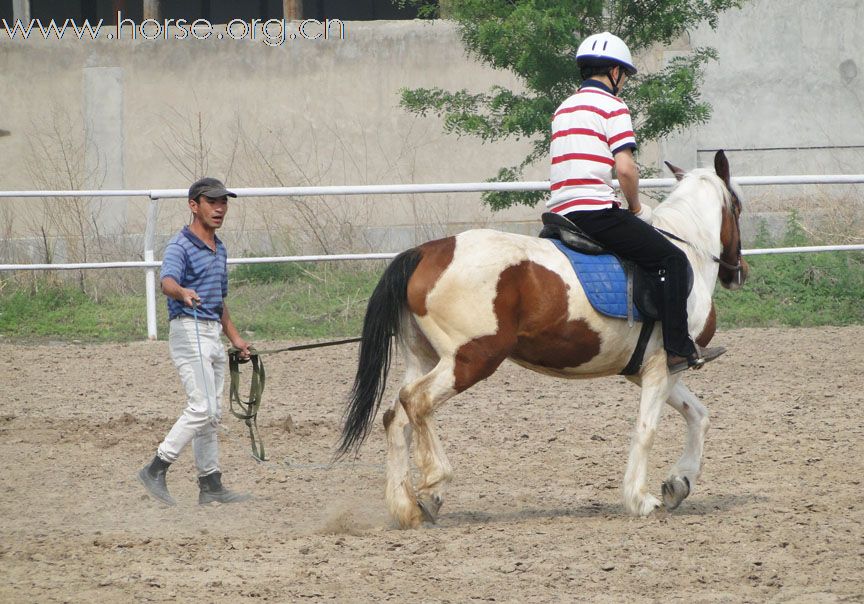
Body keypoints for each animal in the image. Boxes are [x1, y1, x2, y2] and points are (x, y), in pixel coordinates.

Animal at [338, 150, 748, 528]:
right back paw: (434, 484)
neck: (686, 251)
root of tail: (425, 251)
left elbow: (698, 415)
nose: (738, 271)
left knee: (396, 417)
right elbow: (646, 430)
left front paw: (679, 483)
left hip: (424, 358)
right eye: (739, 208)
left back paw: (405, 507)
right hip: (470, 358)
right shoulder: (662, 368)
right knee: (417, 401)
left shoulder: (652, 370)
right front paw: (640, 499)